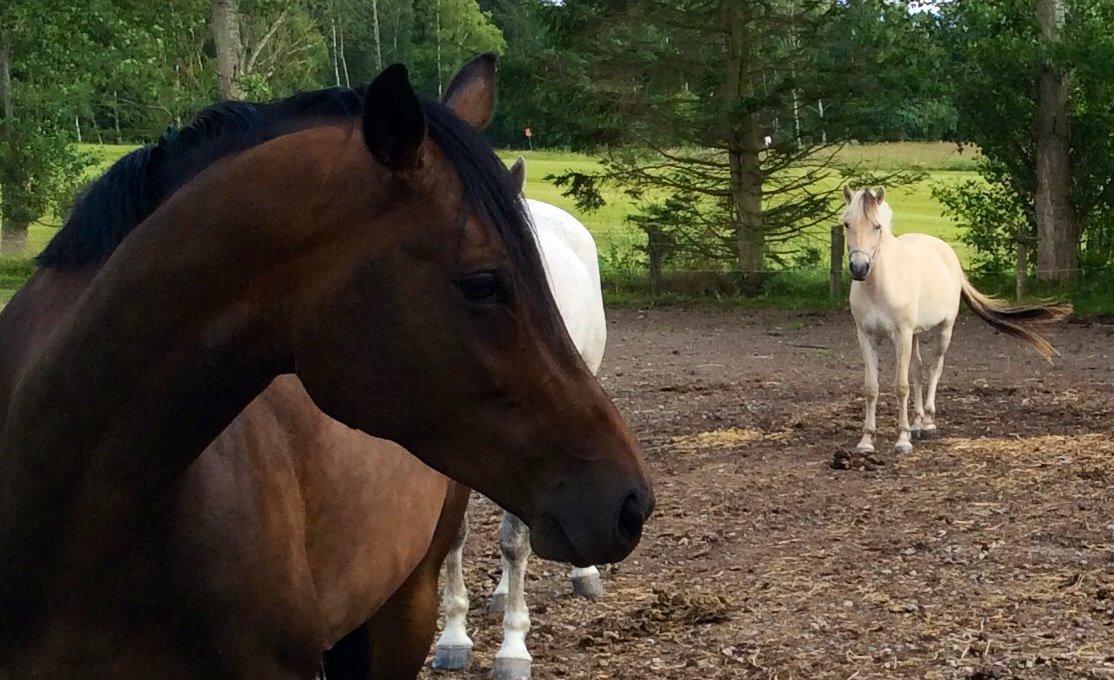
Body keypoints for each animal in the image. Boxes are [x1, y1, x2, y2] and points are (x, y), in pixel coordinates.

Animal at [837, 183, 1064, 454]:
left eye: (877, 226)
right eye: (847, 224)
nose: (859, 268)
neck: (880, 284)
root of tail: (947, 253)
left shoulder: (901, 334)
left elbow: (901, 386)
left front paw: (902, 440)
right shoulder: (867, 337)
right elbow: (872, 388)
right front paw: (867, 441)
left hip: (943, 330)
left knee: (935, 367)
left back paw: (927, 423)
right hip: (915, 335)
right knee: (918, 370)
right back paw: (916, 423)